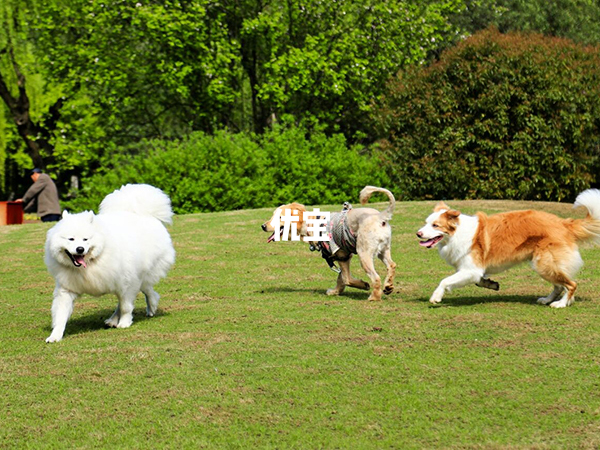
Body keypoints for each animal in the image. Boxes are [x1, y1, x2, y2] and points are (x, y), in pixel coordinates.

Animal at [43, 183, 176, 342]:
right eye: (71, 239)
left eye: (86, 239)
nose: (80, 249)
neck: (92, 261)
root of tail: (144, 214)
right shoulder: (67, 289)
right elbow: (60, 315)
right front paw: (55, 335)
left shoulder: (126, 282)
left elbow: (126, 307)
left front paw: (125, 322)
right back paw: (113, 320)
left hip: (141, 272)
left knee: (146, 288)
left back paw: (151, 305)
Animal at [264, 186, 398, 302]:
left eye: (279, 217)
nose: (263, 226)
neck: (310, 224)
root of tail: (380, 216)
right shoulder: (342, 257)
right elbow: (342, 278)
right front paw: (335, 291)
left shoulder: (342, 255)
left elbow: (346, 279)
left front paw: (363, 284)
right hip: (383, 250)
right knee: (392, 265)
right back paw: (388, 286)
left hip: (363, 253)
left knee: (376, 277)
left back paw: (374, 297)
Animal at [418, 188, 600, 308]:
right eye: (426, 223)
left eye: (435, 225)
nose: (418, 234)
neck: (457, 234)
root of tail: (563, 223)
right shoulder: (471, 270)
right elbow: (478, 281)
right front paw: (490, 284)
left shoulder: (471, 269)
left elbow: (445, 281)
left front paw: (436, 297)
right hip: (544, 264)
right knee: (559, 285)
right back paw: (547, 300)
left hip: (544, 263)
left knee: (571, 284)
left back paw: (561, 304)